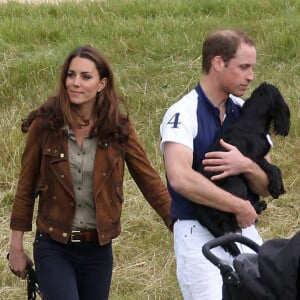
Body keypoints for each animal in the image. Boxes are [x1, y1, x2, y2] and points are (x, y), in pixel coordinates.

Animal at [193, 82, 290, 255]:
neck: (251, 122)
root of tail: (198, 210)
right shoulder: (251, 158)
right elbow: (273, 168)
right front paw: (276, 187)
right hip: (236, 184)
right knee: (232, 220)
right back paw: (257, 207)